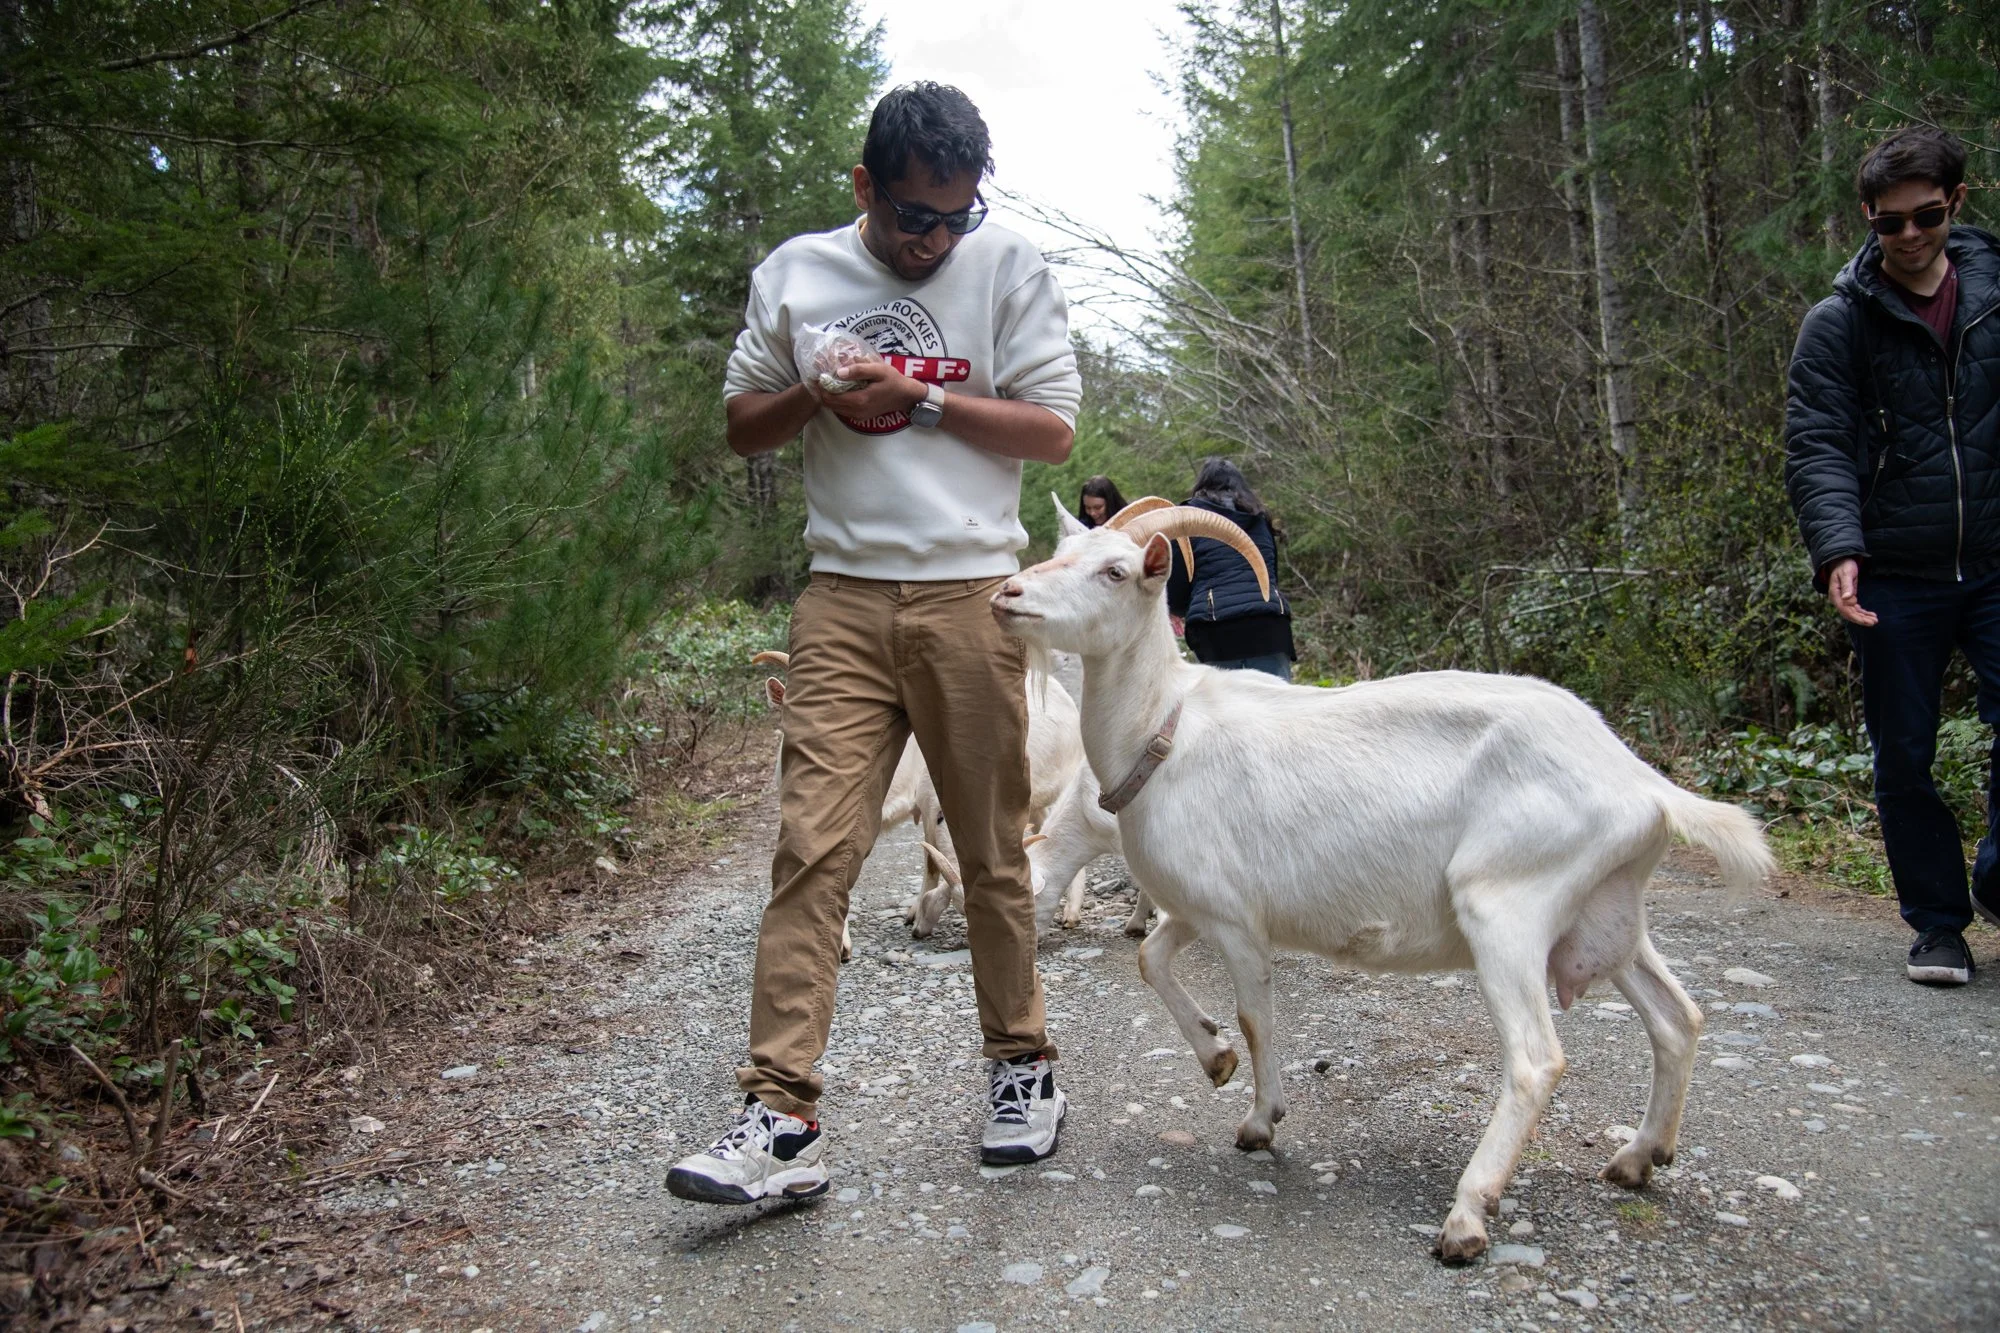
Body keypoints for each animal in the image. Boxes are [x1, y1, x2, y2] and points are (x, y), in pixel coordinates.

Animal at [987, 496, 1773, 1265]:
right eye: (1060, 551)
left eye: (1116, 571)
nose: (1009, 593)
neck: (1166, 729)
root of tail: (1641, 782)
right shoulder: (1201, 906)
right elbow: (1153, 959)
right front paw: (1215, 1058)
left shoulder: (1237, 923)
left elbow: (1257, 1015)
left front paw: (1260, 1119)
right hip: (1605, 913)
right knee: (1677, 1019)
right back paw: (1640, 1156)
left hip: (1507, 906)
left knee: (1535, 1060)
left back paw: (1468, 1216)